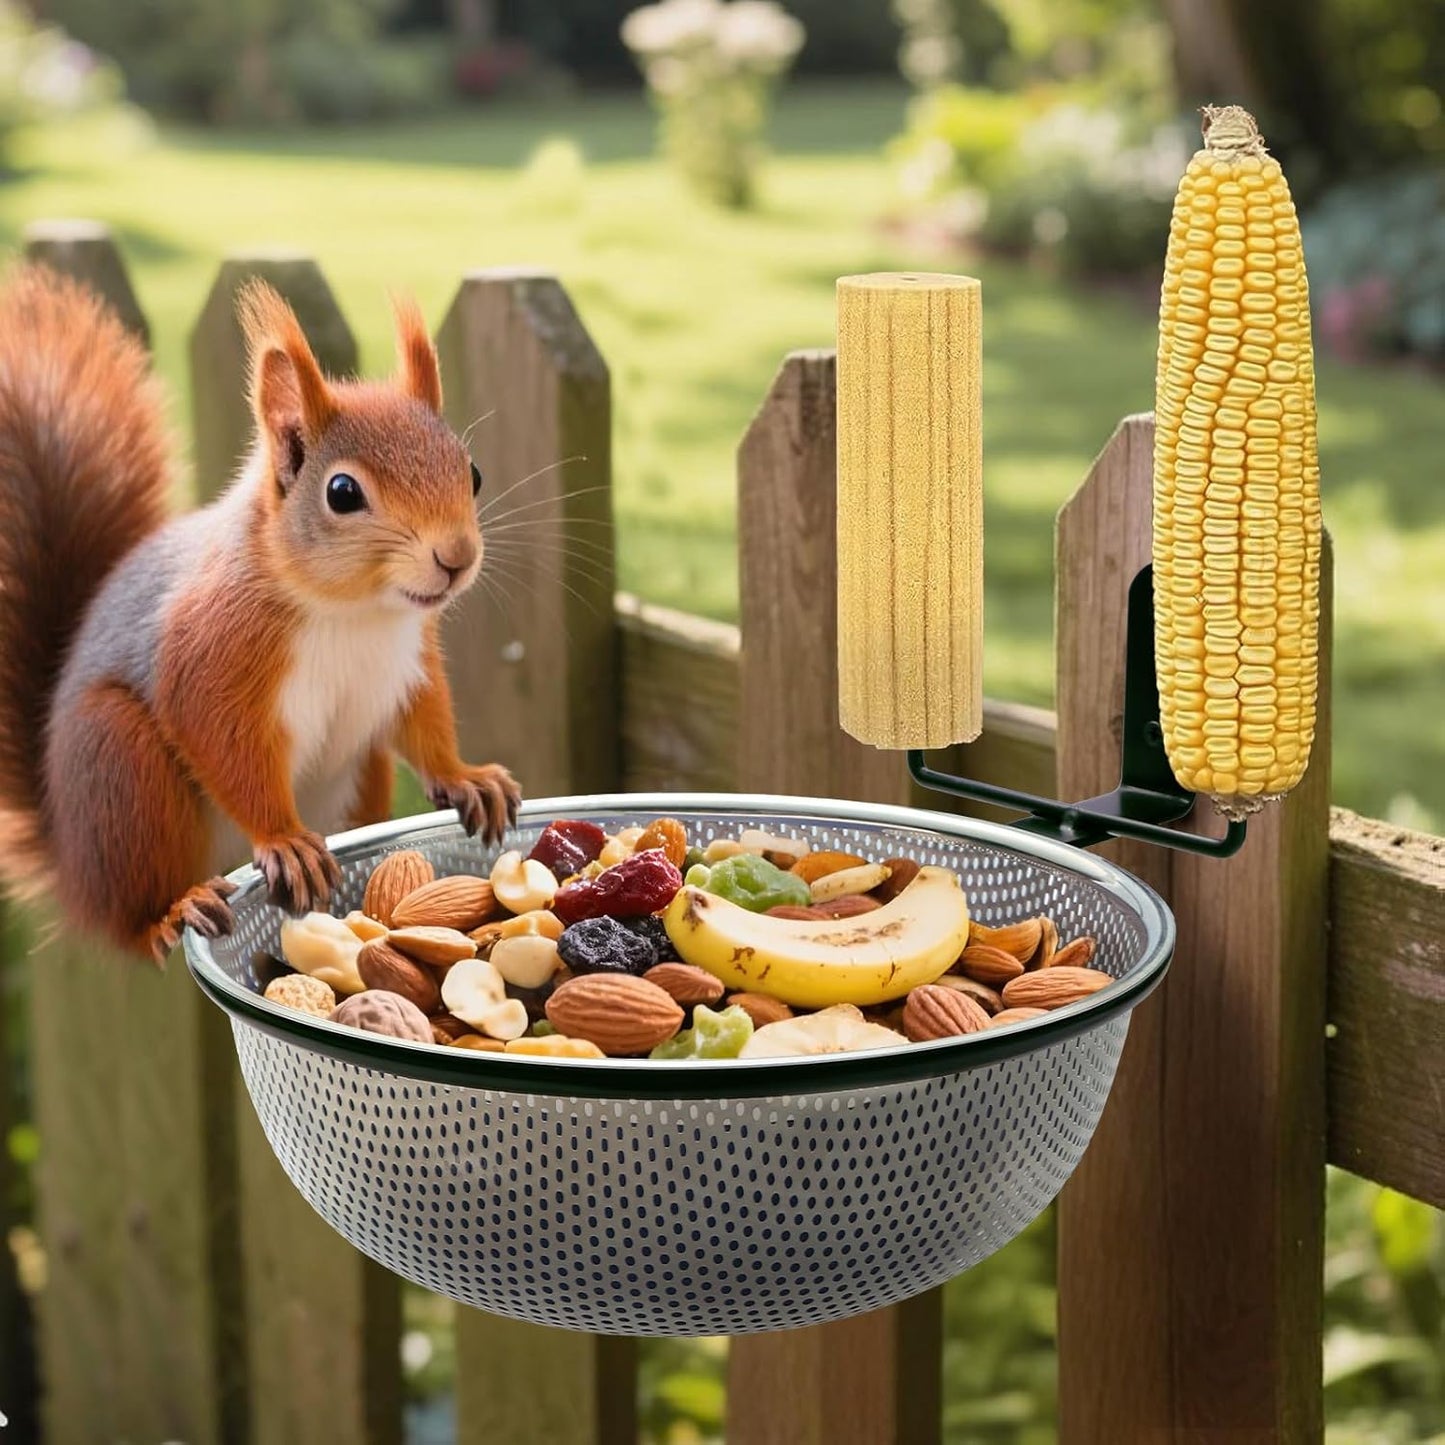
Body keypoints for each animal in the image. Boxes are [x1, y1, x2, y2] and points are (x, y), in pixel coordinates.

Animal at [0, 263, 522, 963]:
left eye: (474, 473)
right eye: (342, 492)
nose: (456, 558)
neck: (356, 613)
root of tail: (73, 867)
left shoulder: (407, 661)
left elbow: (424, 720)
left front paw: (465, 777)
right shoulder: (213, 650)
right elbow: (220, 739)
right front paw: (283, 840)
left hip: (359, 775)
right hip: (121, 772)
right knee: (133, 916)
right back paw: (170, 911)